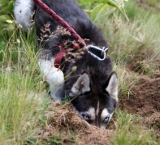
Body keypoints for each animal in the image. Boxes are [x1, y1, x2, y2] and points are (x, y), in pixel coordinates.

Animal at [13, 0, 118, 129]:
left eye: (106, 119)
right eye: (85, 117)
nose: (96, 133)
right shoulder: (45, 54)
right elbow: (58, 76)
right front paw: (58, 97)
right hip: (22, 12)